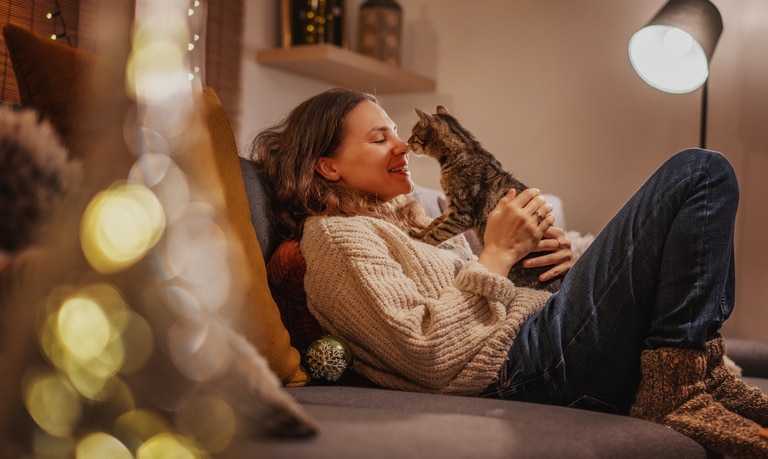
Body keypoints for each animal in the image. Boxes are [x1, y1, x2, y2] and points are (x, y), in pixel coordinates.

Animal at [404, 106, 560, 292]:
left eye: (413, 134)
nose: (406, 142)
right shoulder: (451, 208)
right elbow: (434, 223)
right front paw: (420, 233)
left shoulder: (461, 214)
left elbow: (438, 232)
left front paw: (422, 241)